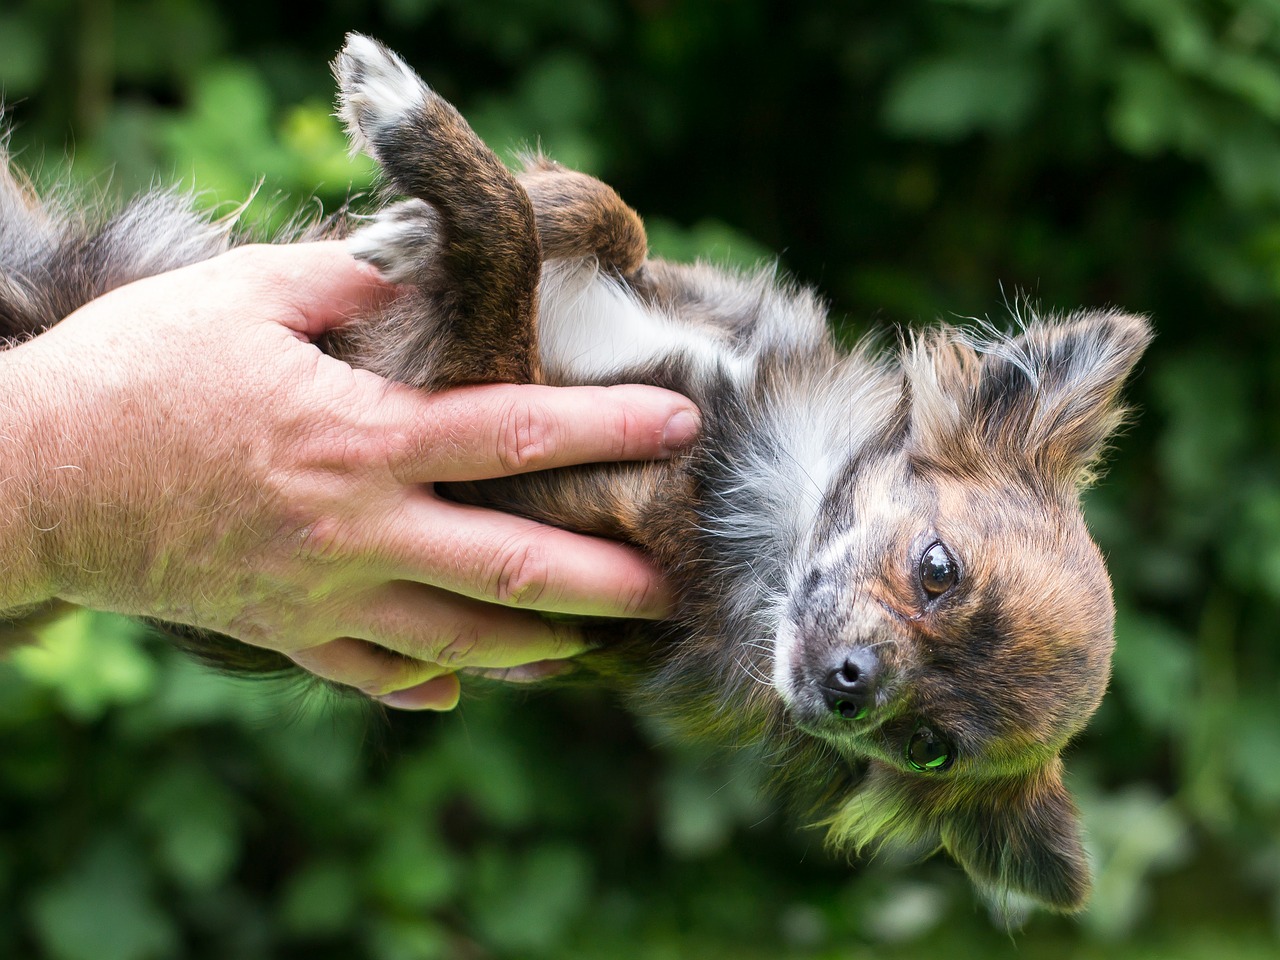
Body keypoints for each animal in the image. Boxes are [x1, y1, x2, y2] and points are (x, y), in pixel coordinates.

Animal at [0, 32, 1152, 916]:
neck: (762, 480)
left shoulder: (456, 406)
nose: (848, 687)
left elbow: (503, 260)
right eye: (936, 569)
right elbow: (602, 215)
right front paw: (467, 205)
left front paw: (418, 138)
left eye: (927, 748)